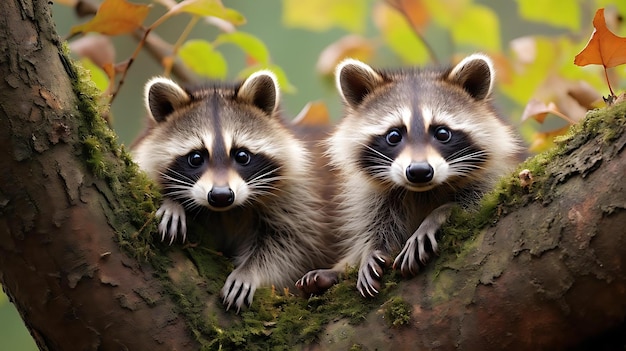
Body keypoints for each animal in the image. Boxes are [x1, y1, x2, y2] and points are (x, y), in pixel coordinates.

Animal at [132, 71, 332, 310]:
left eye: (242, 155)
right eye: (196, 158)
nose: (221, 196)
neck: (225, 212)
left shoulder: (298, 193)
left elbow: (291, 243)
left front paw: (249, 272)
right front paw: (172, 203)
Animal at [294, 53, 520, 298]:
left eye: (442, 133)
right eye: (394, 135)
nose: (419, 172)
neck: (422, 191)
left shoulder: (492, 176)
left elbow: (477, 202)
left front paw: (437, 216)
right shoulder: (373, 195)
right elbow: (376, 224)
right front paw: (368, 251)